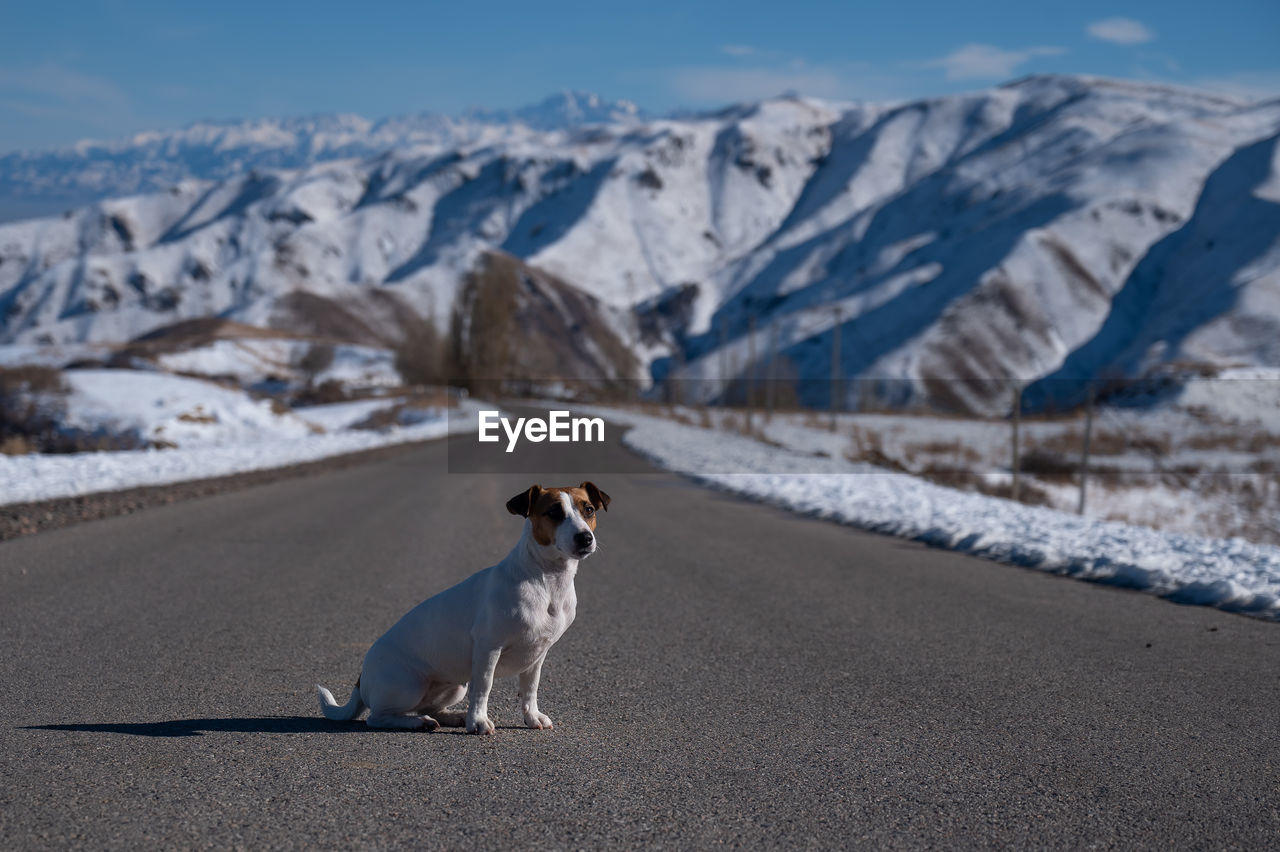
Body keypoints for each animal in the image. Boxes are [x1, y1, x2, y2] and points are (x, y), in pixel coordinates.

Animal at [312, 478, 606, 731]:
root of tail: (360, 678)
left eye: (589, 509)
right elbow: (484, 687)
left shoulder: (537, 655)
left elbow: (530, 689)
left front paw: (532, 718)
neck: (546, 579)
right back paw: (418, 723)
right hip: (409, 686)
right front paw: (478, 722)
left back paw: (451, 717)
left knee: (428, 708)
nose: (585, 538)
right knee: (379, 717)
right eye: (554, 512)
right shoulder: (488, 648)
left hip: (454, 687)